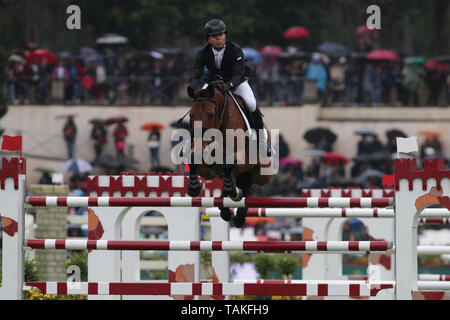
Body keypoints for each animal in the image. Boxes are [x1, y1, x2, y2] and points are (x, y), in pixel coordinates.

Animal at [183, 82, 274, 228]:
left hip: (262, 175)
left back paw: (237, 208)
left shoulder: (242, 157)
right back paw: (228, 210)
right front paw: (193, 188)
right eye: (191, 115)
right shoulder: (205, 169)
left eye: (211, 114)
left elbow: (228, 164)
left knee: (247, 184)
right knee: (239, 183)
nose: (200, 145)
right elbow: (192, 160)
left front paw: (233, 191)